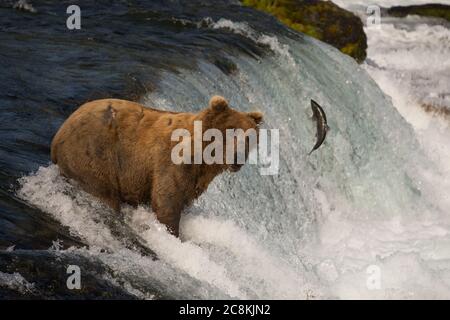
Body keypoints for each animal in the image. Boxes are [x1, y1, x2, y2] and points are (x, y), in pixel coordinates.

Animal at [51, 95, 264, 238]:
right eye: (231, 131)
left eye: (249, 138)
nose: (238, 158)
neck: (203, 158)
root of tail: (58, 133)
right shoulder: (171, 163)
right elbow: (167, 200)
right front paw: (173, 234)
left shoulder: (193, 179)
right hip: (93, 155)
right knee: (104, 194)